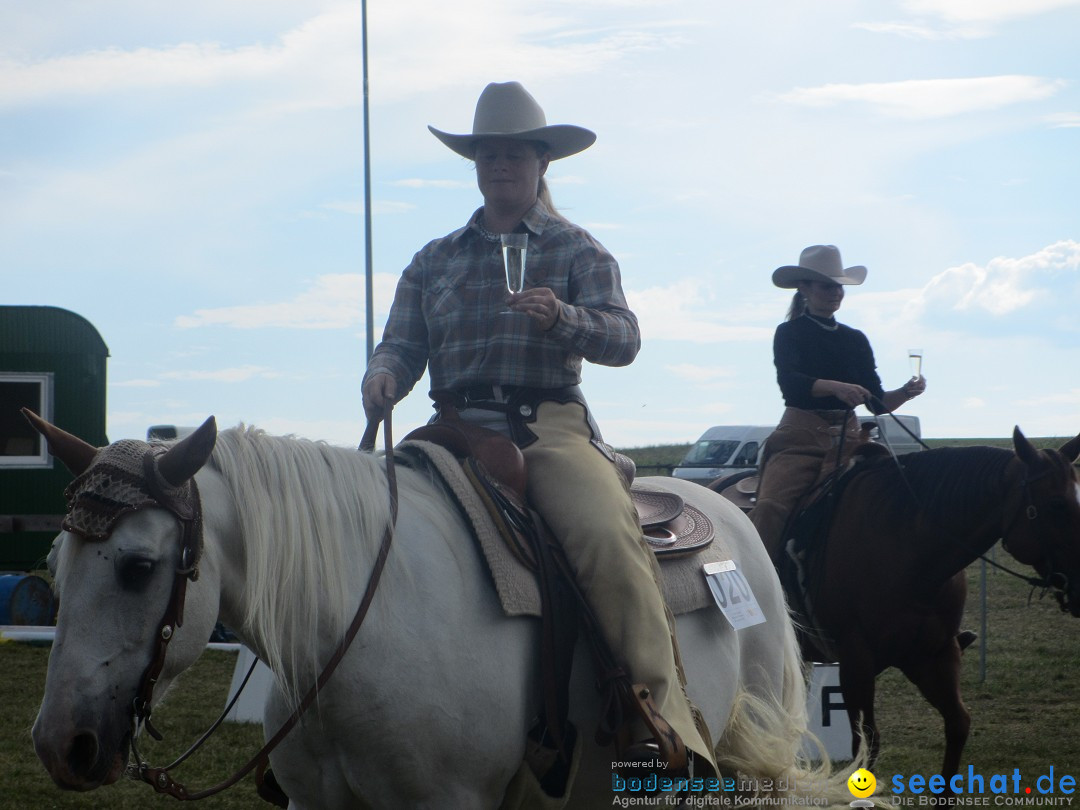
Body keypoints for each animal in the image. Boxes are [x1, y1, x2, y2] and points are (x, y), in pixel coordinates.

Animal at [712, 427, 1075, 781]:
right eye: (1058, 504)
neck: (908, 544)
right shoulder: (856, 661)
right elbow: (866, 744)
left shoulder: (932, 656)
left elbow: (958, 724)